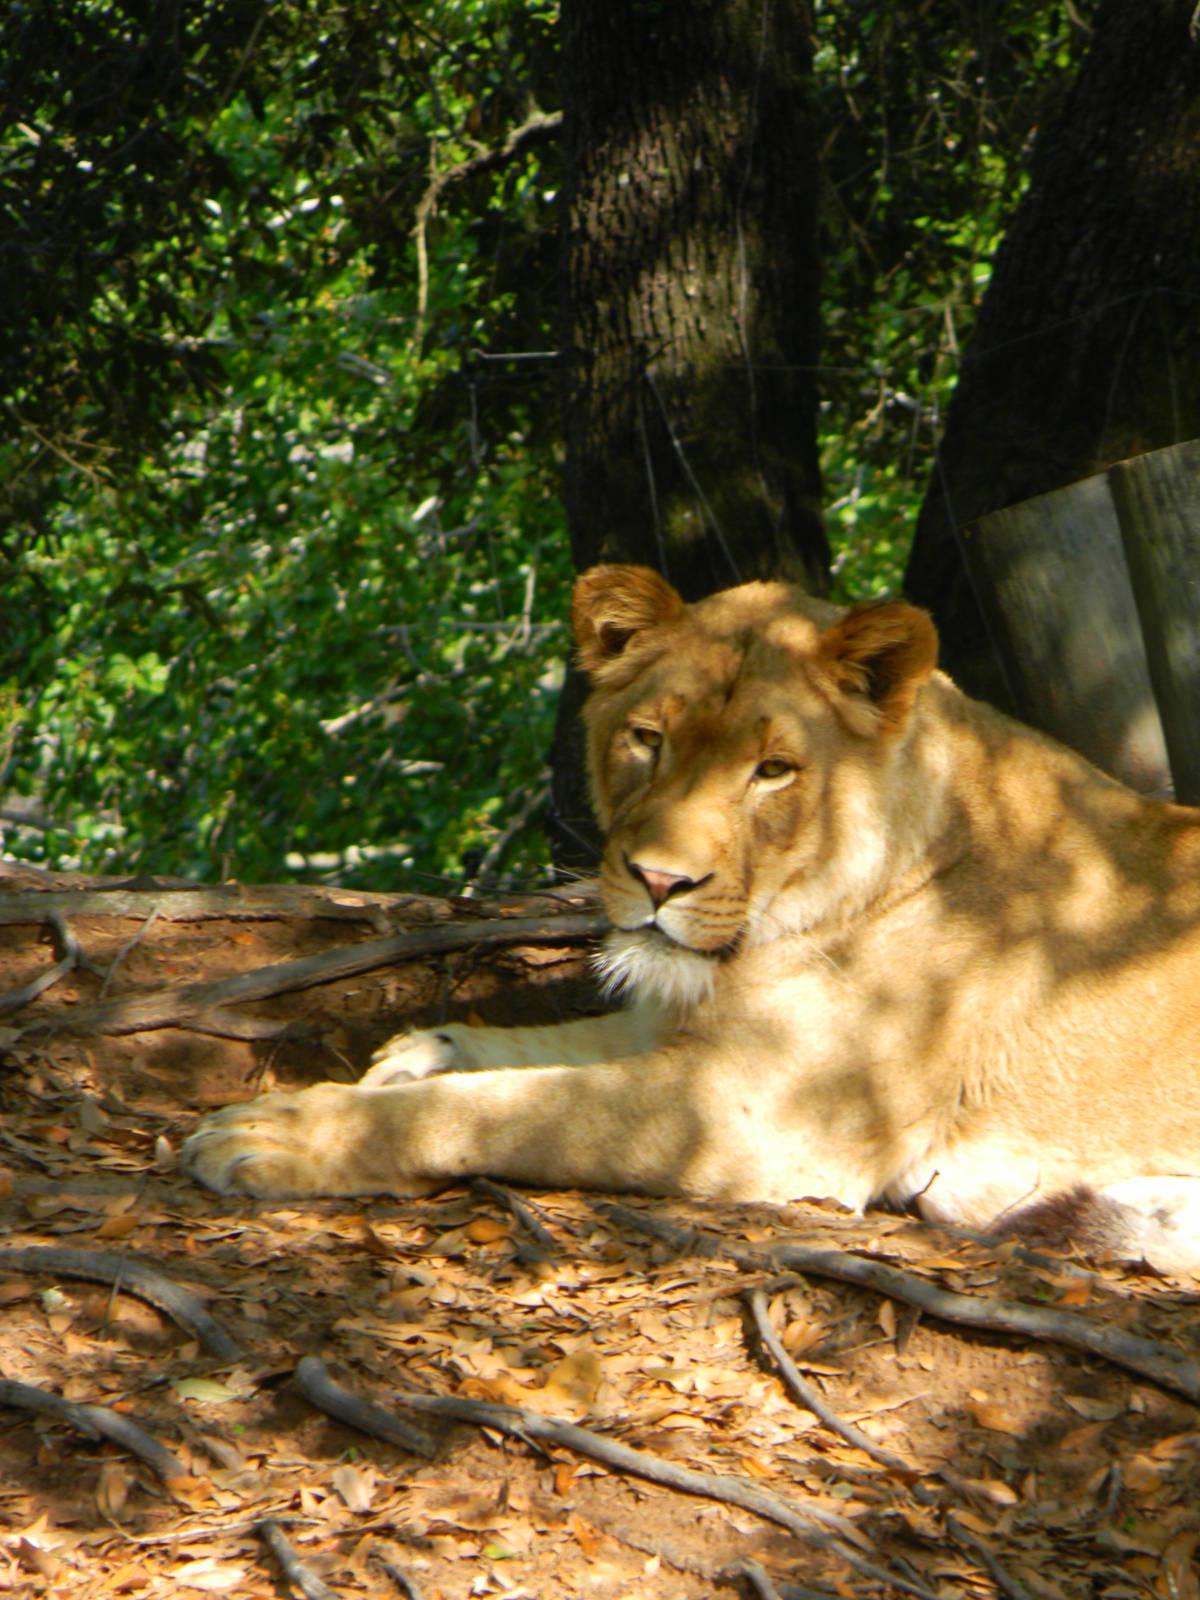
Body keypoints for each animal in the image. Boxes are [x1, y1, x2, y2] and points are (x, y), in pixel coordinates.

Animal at [184, 564, 1200, 1271]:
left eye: (774, 771)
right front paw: (411, 1054)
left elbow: (520, 1109)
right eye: (649, 738)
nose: (659, 881)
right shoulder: (678, 1028)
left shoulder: (760, 1114)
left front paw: (282, 1135)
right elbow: (523, 1049)